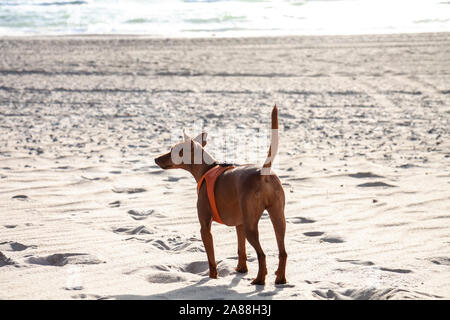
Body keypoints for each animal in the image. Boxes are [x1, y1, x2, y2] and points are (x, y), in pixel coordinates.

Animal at [155, 105, 286, 284]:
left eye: (172, 150)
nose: (155, 159)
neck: (207, 168)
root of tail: (263, 173)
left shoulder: (205, 227)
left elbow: (211, 259)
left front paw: (213, 278)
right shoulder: (239, 225)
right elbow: (241, 250)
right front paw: (241, 269)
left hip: (251, 226)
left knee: (262, 254)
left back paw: (259, 279)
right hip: (277, 218)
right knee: (283, 252)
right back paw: (280, 278)